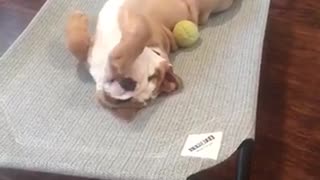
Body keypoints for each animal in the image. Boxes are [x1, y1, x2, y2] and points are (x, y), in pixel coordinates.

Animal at [65, 0, 235, 109]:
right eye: (126, 101)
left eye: (152, 77)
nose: (130, 84)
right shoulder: (89, 53)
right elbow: (76, 44)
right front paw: (77, 16)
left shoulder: (143, 23)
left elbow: (141, 30)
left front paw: (117, 62)